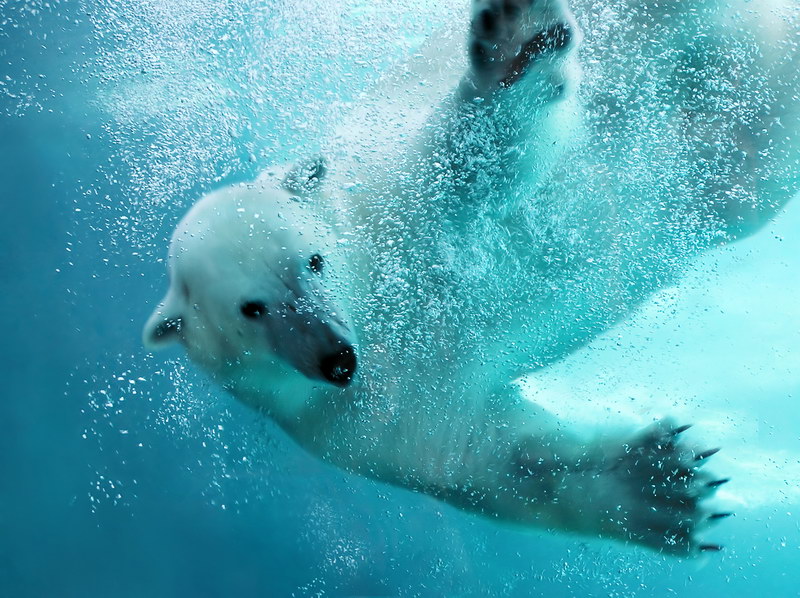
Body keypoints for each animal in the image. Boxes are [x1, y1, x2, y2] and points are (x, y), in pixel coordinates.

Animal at [143, 0, 798, 555]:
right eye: (251, 310)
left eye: (313, 261)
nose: (338, 359)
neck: (377, 300)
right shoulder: (358, 421)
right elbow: (492, 459)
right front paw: (662, 487)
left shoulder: (398, 199)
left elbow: (476, 155)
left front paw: (516, 44)